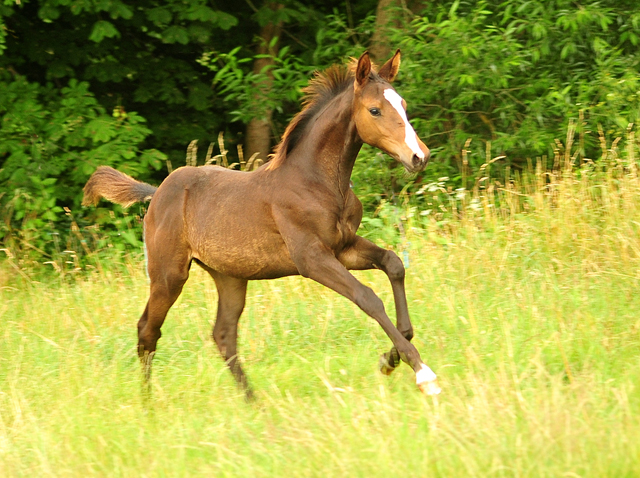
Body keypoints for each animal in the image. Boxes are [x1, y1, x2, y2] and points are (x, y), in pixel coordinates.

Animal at [84, 50, 440, 398]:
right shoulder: (311, 258)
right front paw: (422, 372)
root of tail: (156, 193)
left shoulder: (344, 247)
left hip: (229, 276)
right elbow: (367, 297)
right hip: (169, 274)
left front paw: (390, 359)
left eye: (404, 104)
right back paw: (148, 404)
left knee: (223, 333)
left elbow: (394, 264)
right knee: (148, 330)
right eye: (375, 109)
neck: (317, 181)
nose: (419, 157)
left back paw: (252, 401)